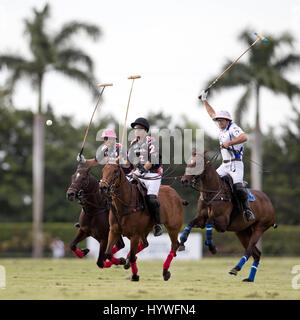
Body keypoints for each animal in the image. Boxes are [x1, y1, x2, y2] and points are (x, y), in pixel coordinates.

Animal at [179, 151, 276, 282]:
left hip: (259, 228)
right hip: (242, 231)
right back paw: (249, 279)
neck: (212, 193)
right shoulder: (201, 219)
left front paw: (212, 246)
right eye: (188, 162)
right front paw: (182, 242)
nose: (184, 180)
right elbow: (190, 223)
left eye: (197, 164)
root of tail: (269, 202)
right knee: (257, 254)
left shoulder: (222, 223)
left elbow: (210, 221)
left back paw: (235, 268)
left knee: (249, 250)